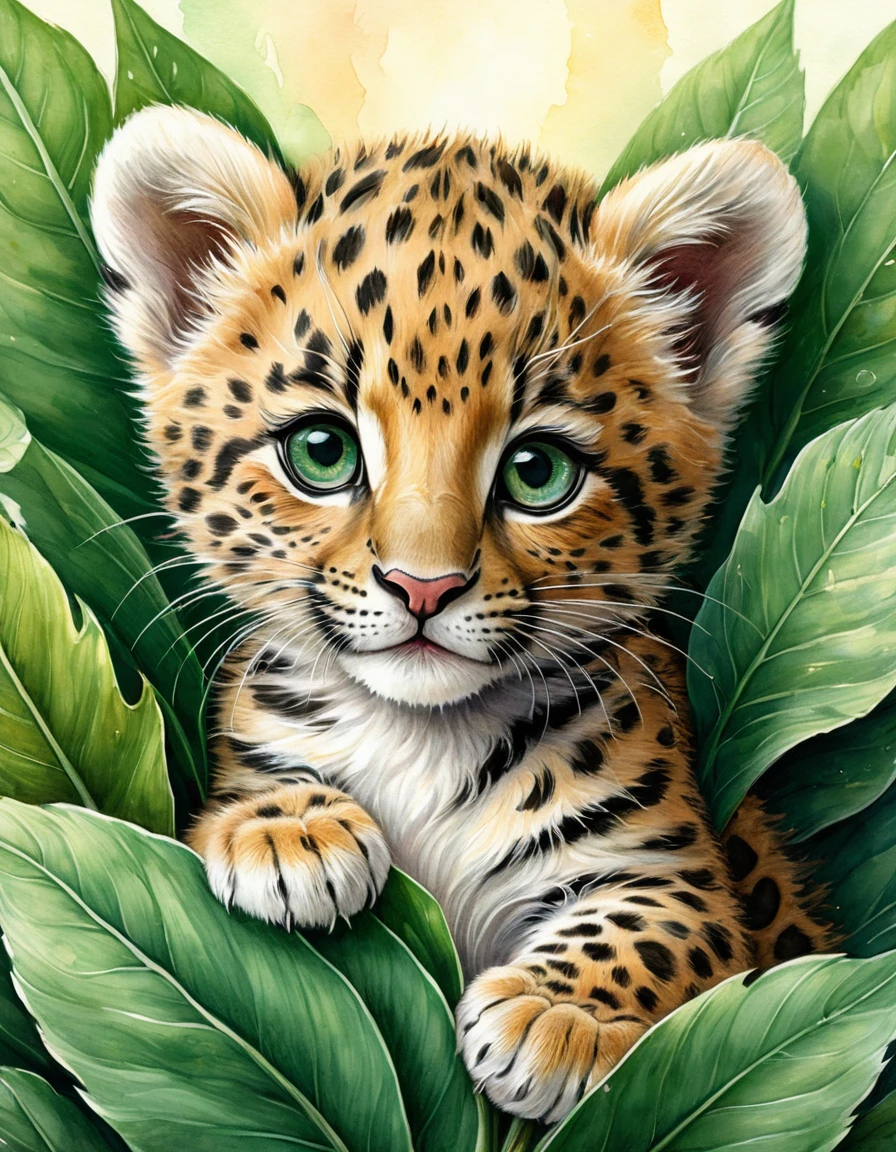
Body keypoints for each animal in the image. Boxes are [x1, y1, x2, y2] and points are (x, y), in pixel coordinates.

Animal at [90, 105, 832, 1124]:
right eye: (321, 451)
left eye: (538, 471)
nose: (423, 587)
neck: (419, 737)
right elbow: (224, 801)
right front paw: (288, 830)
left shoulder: (683, 874)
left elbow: (656, 927)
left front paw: (560, 1017)